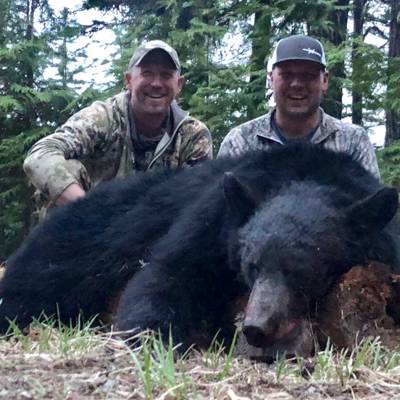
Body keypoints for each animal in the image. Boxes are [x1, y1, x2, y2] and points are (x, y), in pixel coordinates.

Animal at [0, 143, 399, 352]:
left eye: (302, 270)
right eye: (252, 265)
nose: (256, 326)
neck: (306, 175)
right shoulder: (213, 219)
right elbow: (169, 273)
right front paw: (146, 337)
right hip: (78, 242)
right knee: (39, 282)